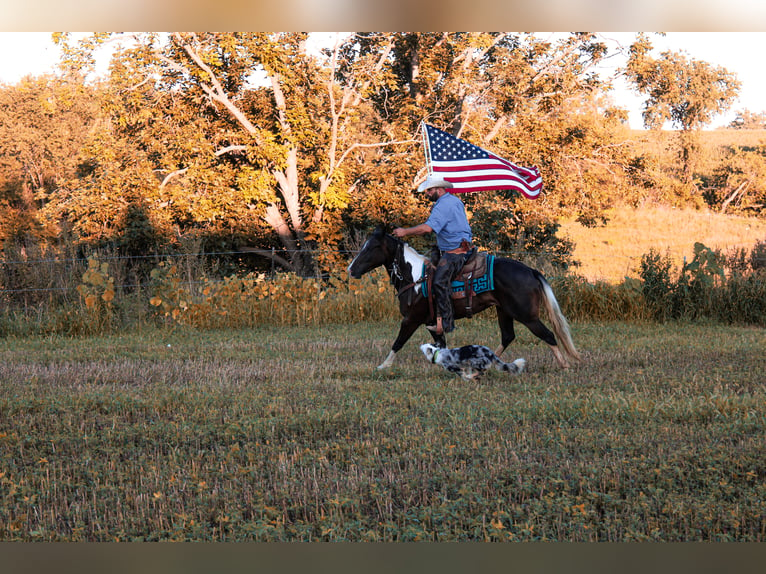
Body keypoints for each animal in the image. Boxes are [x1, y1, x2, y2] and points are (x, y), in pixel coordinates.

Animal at [348, 227, 584, 372]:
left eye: (372, 247)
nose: (351, 269)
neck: (414, 278)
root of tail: (531, 271)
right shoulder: (432, 323)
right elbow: (440, 347)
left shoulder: (411, 320)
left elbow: (398, 342)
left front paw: (383, 366)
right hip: (504, 311)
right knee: (508, 336)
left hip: (526, 315)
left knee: (548, 335)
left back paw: (565, 366)